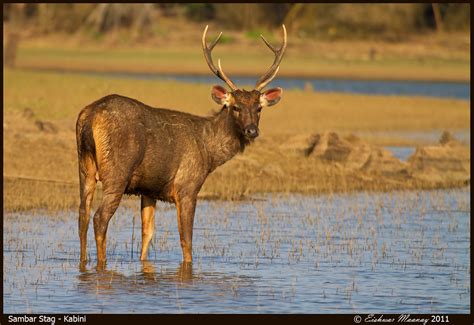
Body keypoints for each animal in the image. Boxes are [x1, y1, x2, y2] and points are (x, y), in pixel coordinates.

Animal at [76, 24, 286, 264]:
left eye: (258, 108)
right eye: (236, 107)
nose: (252, 130)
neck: (209, 151)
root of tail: (90, 115)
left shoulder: (149, 189)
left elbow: (147, 234)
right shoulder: (187, 186)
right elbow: (187, 241)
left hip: (85, 167)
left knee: (82, 215)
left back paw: (84, 262)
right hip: (117, 171)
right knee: (100, 218)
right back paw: (101, 264)